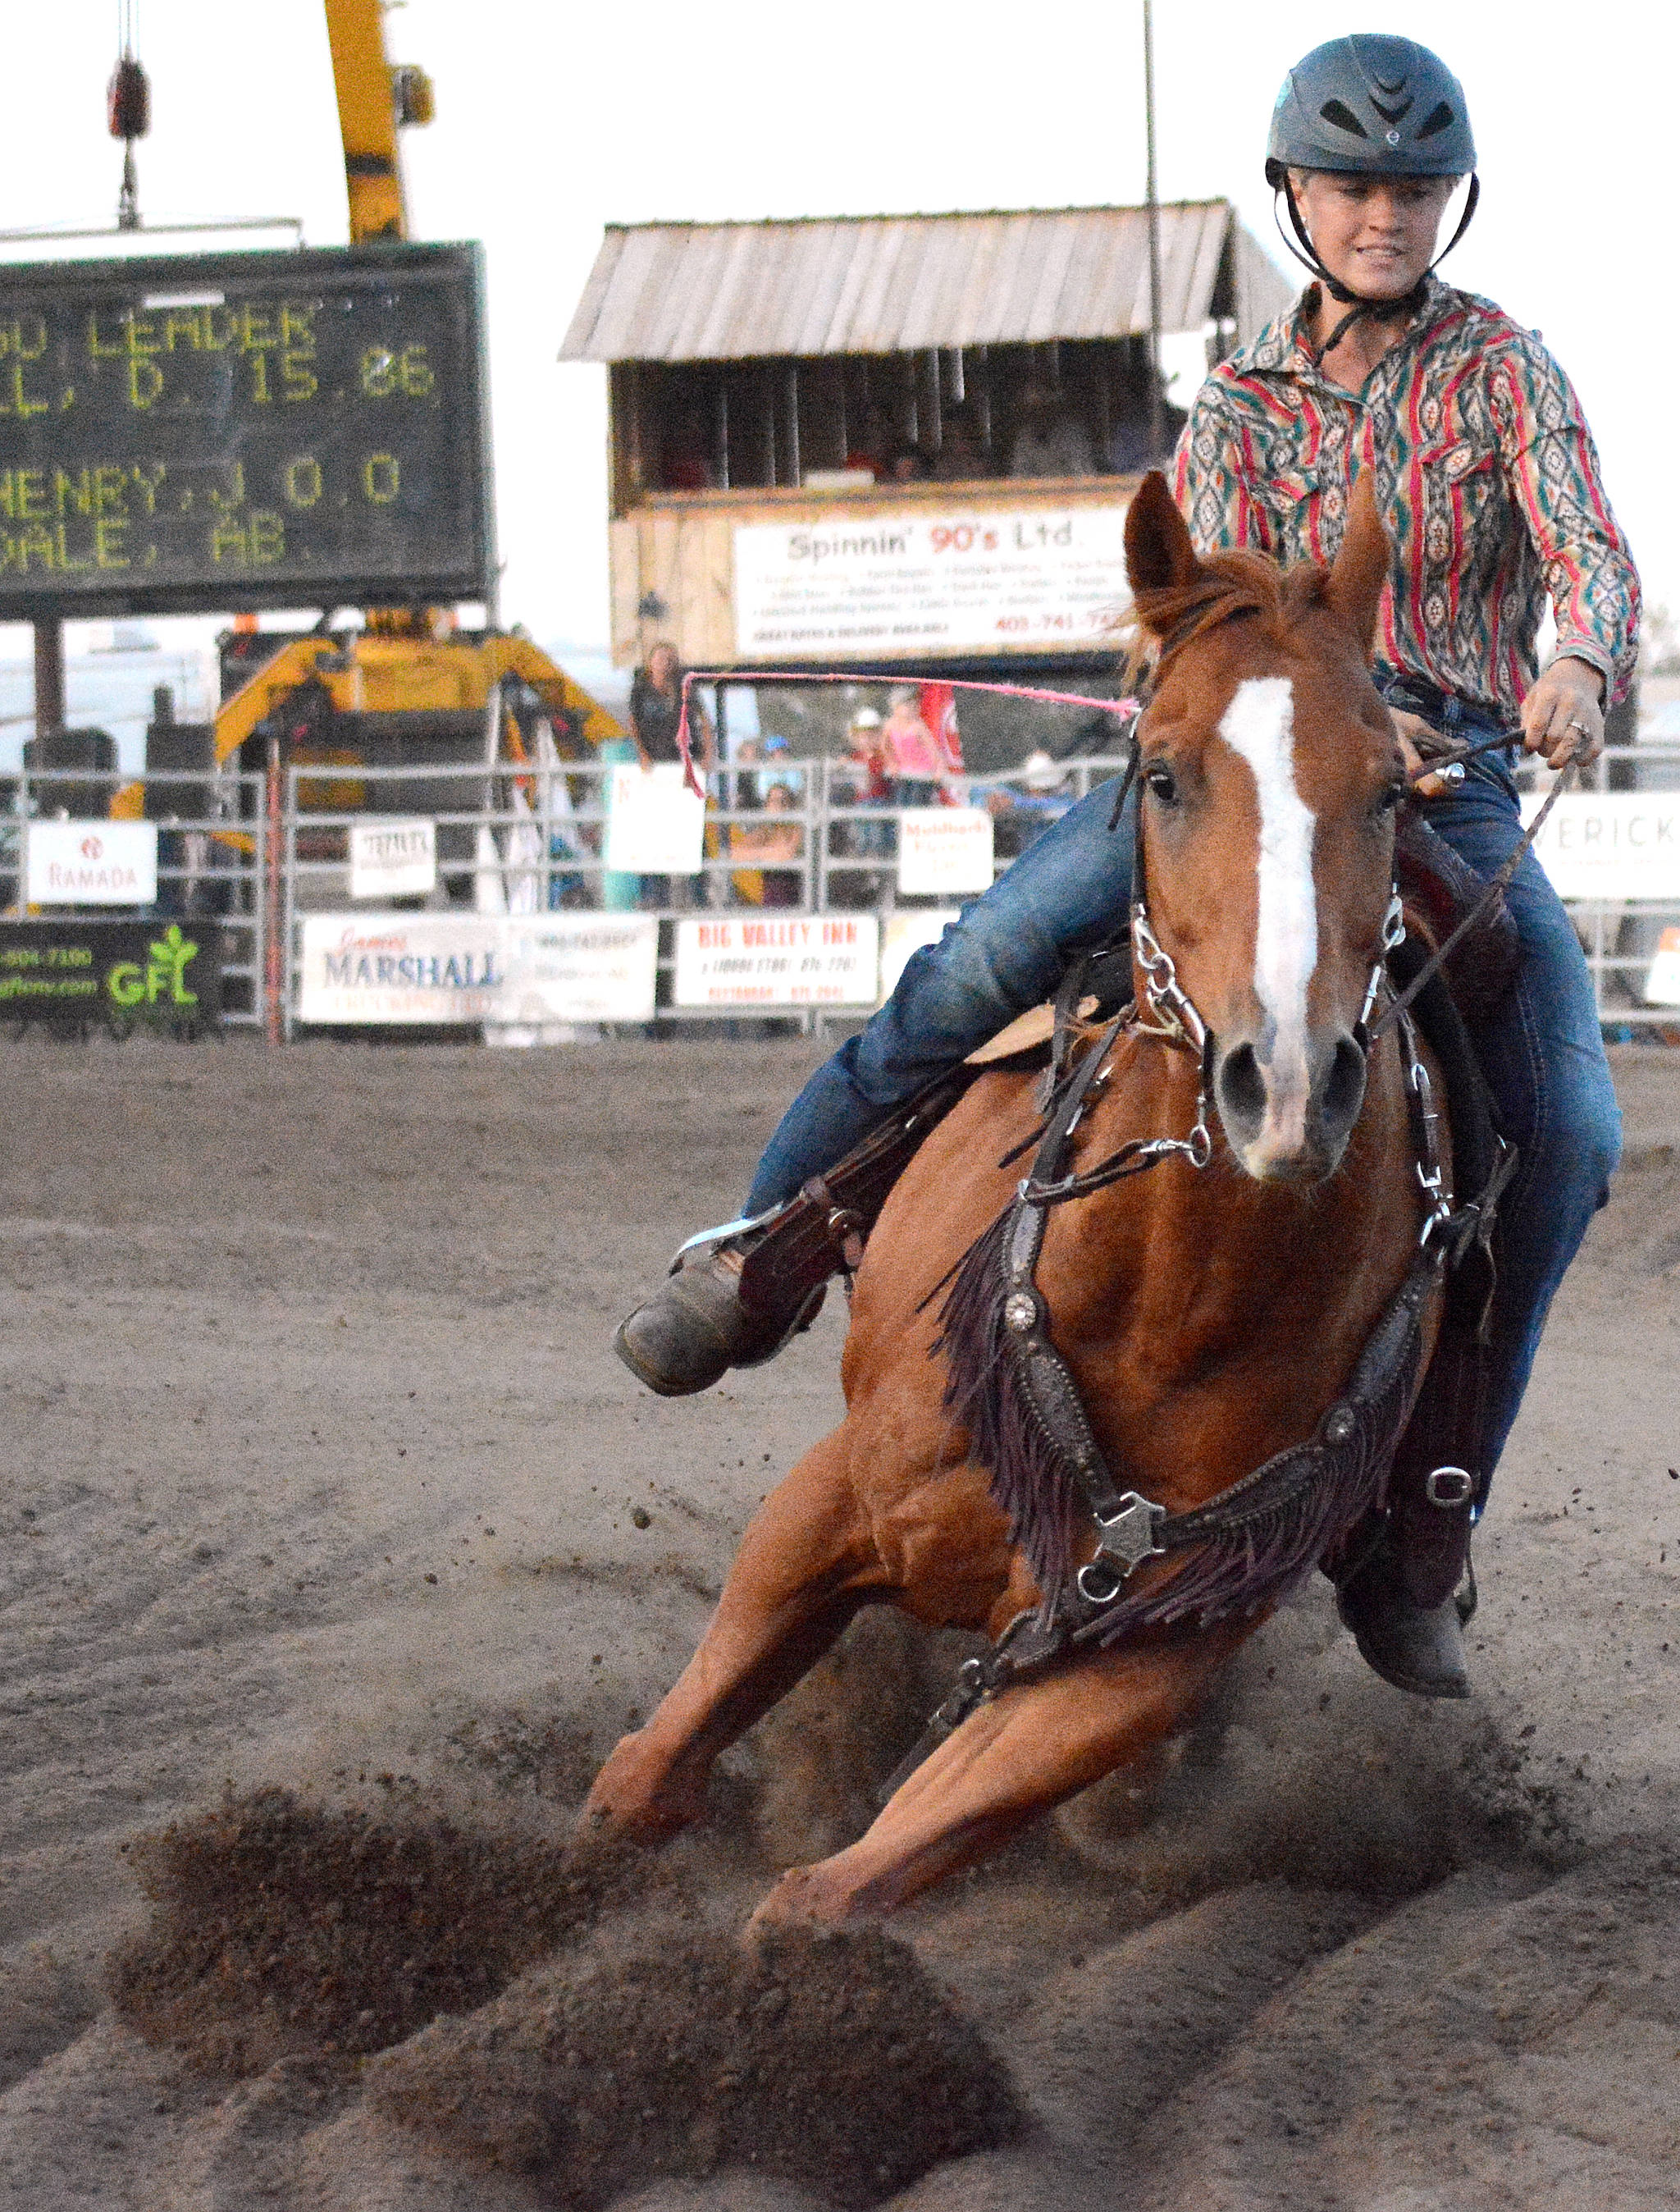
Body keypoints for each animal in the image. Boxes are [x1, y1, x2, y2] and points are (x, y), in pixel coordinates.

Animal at [579, 475, 1440, 1928]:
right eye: (1162, 774)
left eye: (1390, 789)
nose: (1282, 1083)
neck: (1166, 1301)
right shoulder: (833, 1498)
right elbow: (640, 1780)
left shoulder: (1133, 1660)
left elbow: (831, 1897)